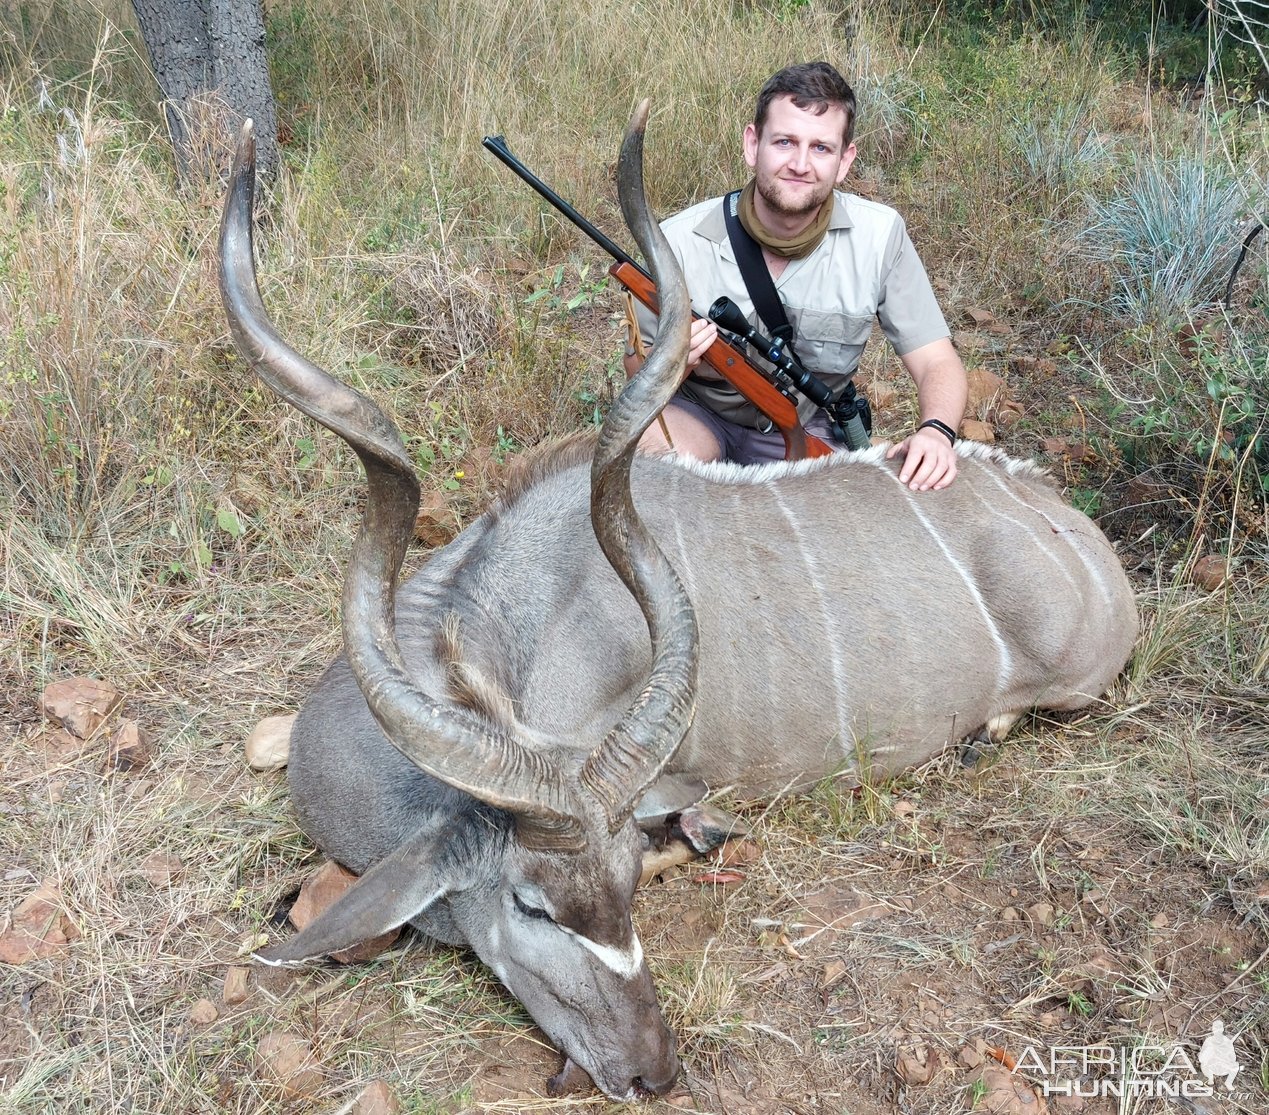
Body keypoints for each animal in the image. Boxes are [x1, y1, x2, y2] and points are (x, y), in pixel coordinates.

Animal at [220, 102, 1142, 1101]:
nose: (650, 1069)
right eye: (530, 903)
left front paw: (695, 835)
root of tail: (1068, 522)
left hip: (1073, 677)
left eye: (624, 884)